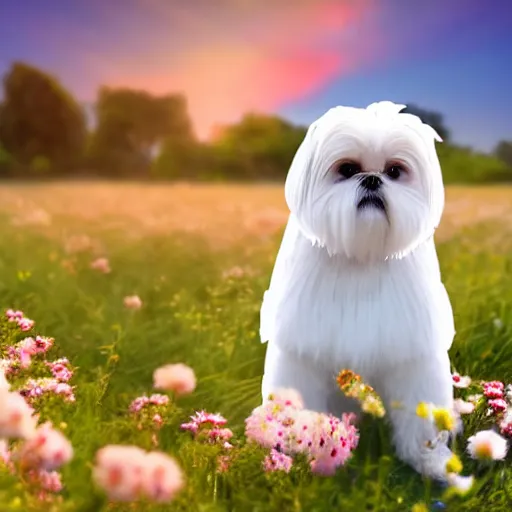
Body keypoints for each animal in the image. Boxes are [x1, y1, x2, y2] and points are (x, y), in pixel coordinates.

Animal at [260, 100, 456, 480]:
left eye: (395, 171)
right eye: (347, 169)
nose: (372, 179)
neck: (362, 254)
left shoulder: (413, 358)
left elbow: (419, 416)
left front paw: (430, 461)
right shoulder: (302, 358)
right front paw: (308, 452)